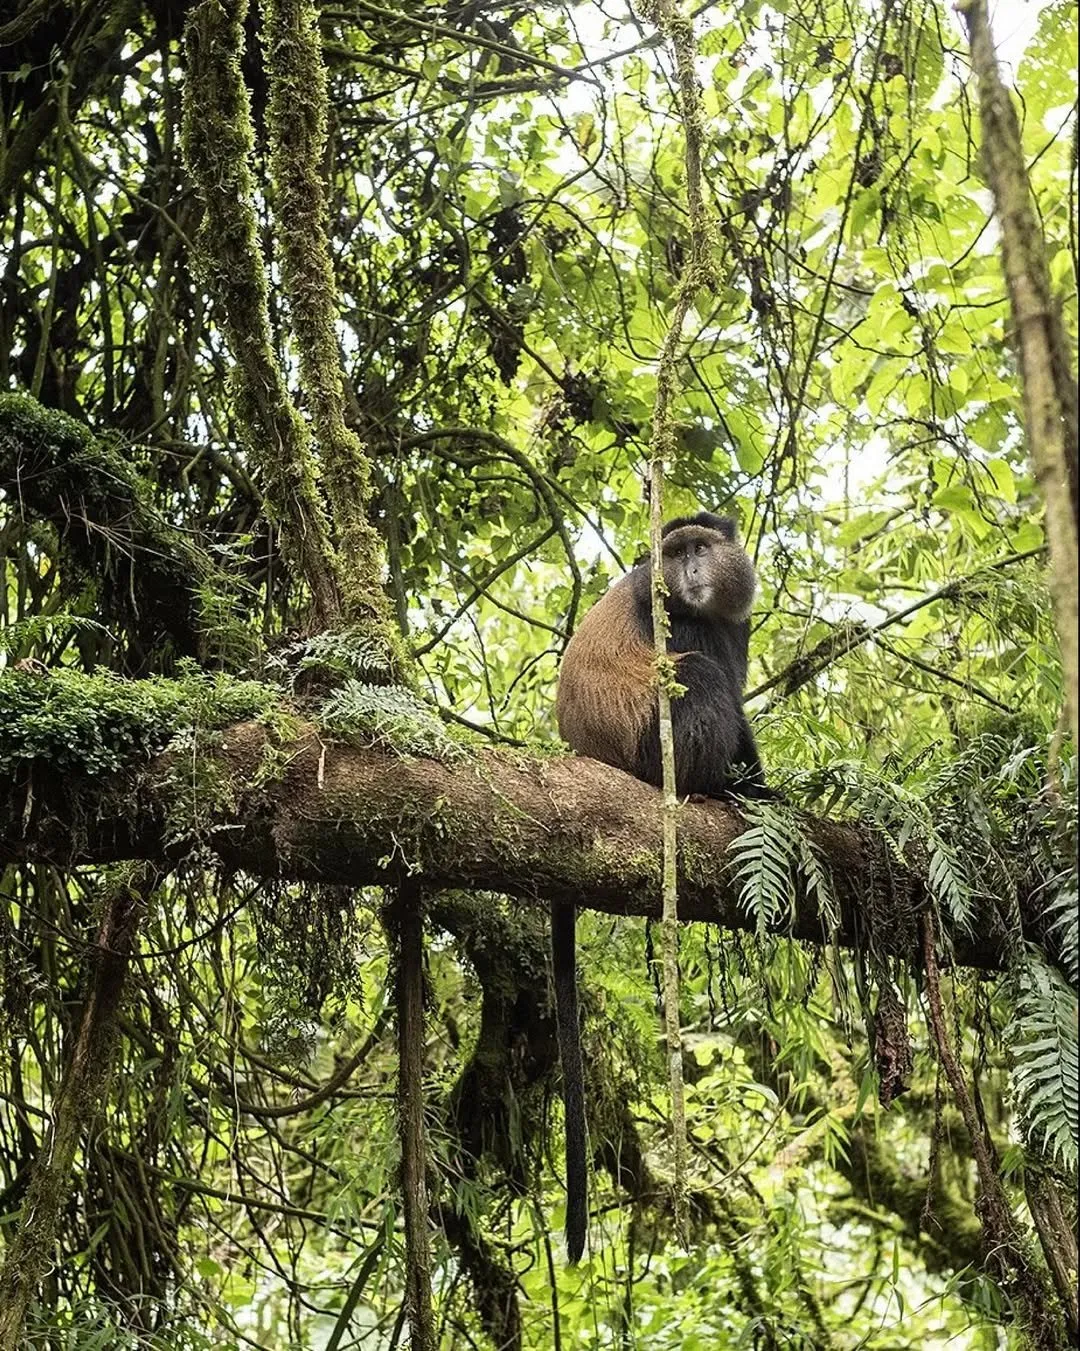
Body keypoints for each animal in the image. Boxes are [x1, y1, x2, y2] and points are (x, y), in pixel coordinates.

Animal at [550, 511, 770, 1261]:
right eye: (673, 556)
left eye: (701, 547)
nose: (691, 571)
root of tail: (585, 753)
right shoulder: (675, 618)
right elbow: (714, 681)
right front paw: (753, 788)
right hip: (648, 746)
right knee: (694, 679)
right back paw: (714, 788)